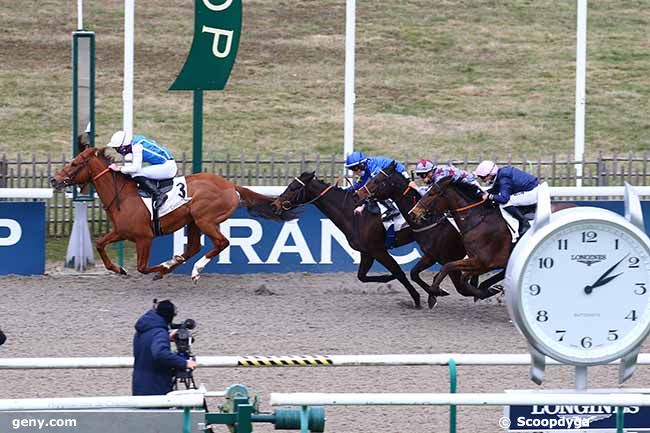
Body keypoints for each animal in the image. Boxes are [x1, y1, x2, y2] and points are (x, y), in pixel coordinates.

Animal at [52, 147, 294, 282]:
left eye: (74, 163)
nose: (54, 180)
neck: (123, 195)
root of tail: (231, 186)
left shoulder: (144, 237)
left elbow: (142, 267)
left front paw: (162, 267)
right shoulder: (122, 231)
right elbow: (101, 243)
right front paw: (118, 269)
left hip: (205, 219)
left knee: (221, 243)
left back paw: (194, 269)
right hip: (194, 222)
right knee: (194, 247)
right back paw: (176, 263)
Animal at [354, 163, 492, 304]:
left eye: (377, 180)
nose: (358, 194)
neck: (428, 222)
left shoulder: (449, 258)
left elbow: (461, 288)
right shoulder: (431, 256)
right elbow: (414, 274)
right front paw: (436, 294)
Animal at [408, 174, 576, 296]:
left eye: (431, 194)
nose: (413, 213)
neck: (477, 221)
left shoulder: (481, 261)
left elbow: (449, 267)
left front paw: (435, 290)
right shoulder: (478, 262)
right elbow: (463, 279)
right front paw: (485, 291)